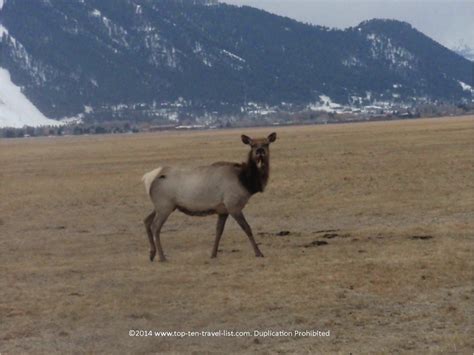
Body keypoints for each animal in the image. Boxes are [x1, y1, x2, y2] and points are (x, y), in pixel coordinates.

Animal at [143, 132, 276, 262]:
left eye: (266, 143)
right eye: (252, 145)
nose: (260, 151)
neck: (246, 182)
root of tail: (148, 178)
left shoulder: (223, 210)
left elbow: (219, 231)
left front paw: (213, 254)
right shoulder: (233, 206)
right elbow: (247, 228)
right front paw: (259, 253)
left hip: (162, 206)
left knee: (146, 220)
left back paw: (152, 253)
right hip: (165, 206)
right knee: (155, 226)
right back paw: (162, 257)